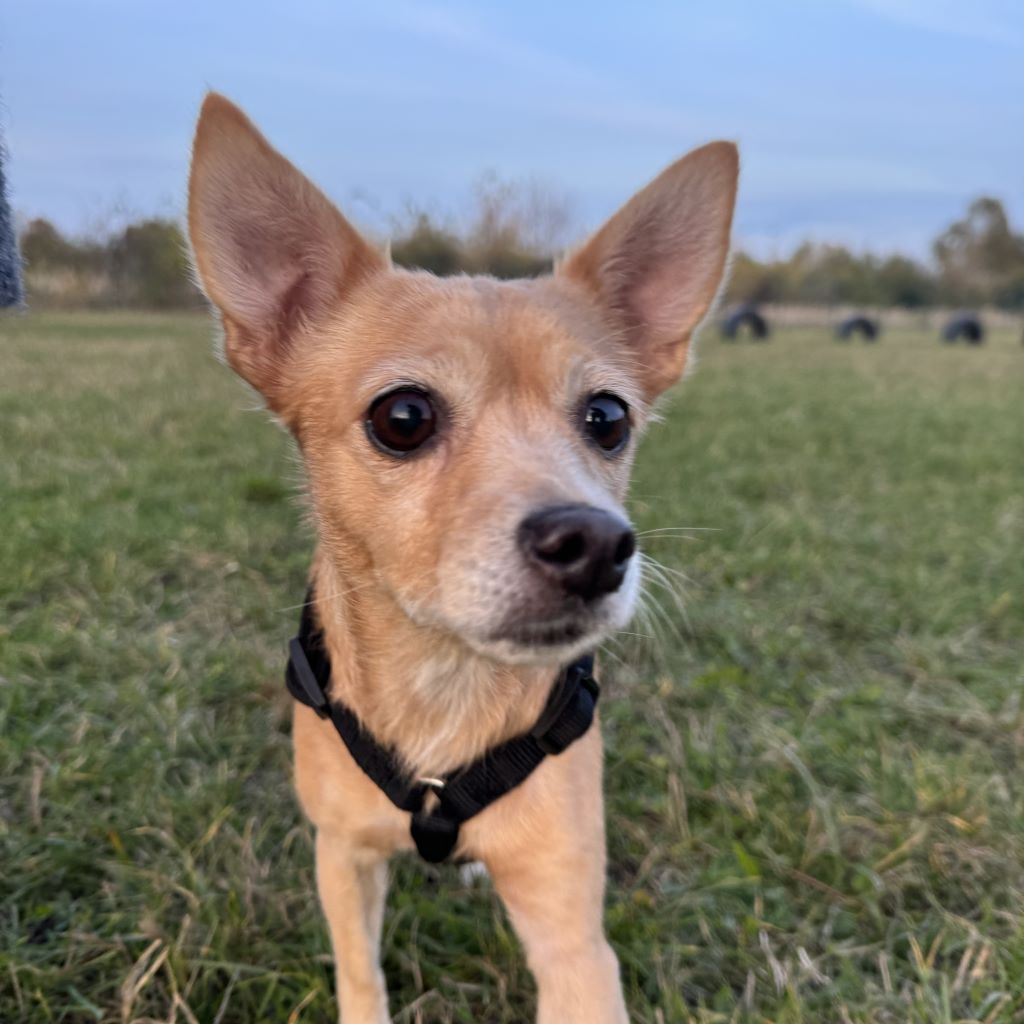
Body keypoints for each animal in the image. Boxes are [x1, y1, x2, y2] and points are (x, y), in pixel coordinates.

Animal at [188, 96, 737, 1024]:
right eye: (402, 417)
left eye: (608, 418)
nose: (596, 543)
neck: (445, 688)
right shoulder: (343, 858)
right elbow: (361, 974)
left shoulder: (572, 936)